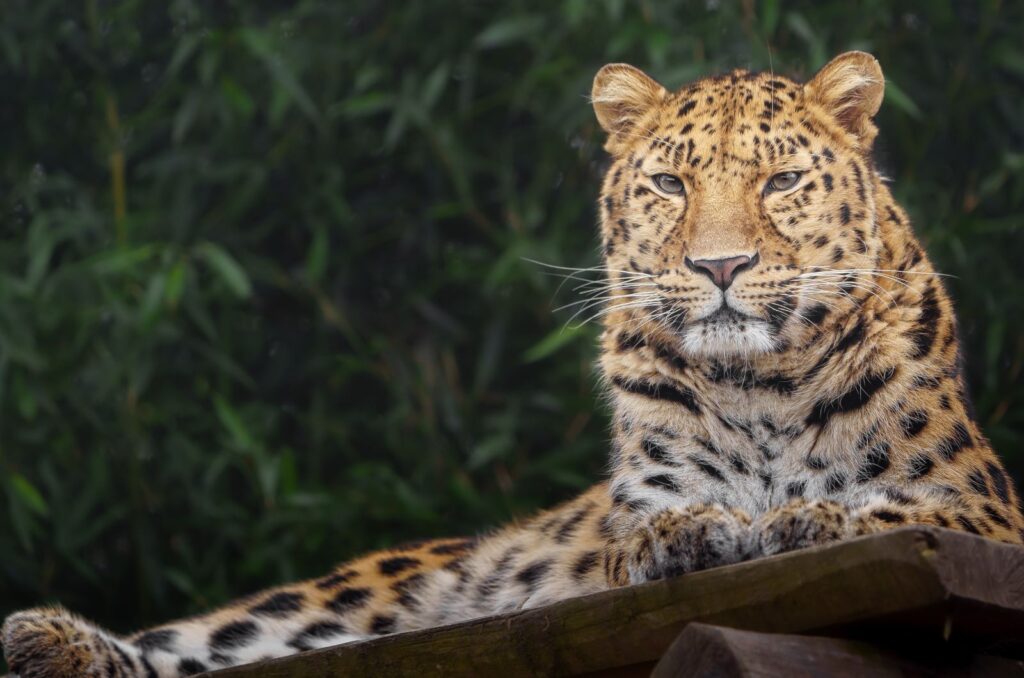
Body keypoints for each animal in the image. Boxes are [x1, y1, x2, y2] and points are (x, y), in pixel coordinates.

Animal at [4, 51, 1019, 678]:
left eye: (781, 182)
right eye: (670, 184)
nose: (720, 267)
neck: (758, 386)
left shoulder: (986, 513)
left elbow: (891, 506)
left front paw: (805, 519)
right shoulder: (629, 514)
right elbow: (644, 529)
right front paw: (691, 533)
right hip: (366, 589)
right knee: (223, 635)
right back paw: (46, 636)